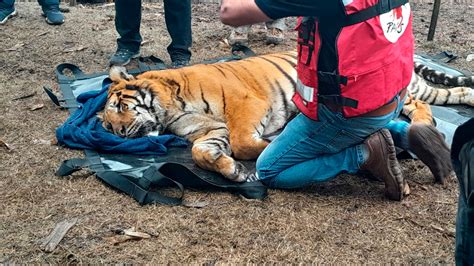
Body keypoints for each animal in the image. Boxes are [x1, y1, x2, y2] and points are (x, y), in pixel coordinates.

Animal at [100, 50, 474, 182]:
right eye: (106, 125)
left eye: (119, 107)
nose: (121, 134)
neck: (168, 110)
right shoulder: (207, 131)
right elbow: (201, 151)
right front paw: (232, 171)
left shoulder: (245, 103)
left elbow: (245, 142)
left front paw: (269, 144)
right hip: (425, 89)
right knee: (454, 94)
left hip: (400, 92)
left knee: (421, 108)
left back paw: (423, 129)